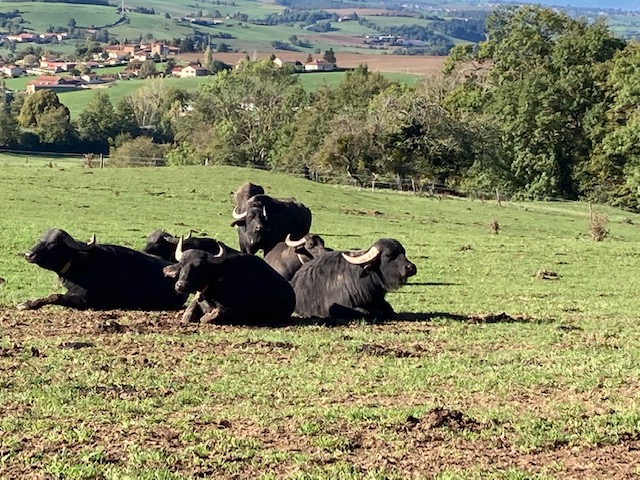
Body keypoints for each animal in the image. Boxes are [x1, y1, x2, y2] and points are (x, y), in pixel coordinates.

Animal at [18, 229, 188, 312]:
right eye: (41, 239)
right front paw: (26, 303)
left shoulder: (85, 300)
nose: (28, 254)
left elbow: (54, 296)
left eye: (53, 243)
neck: (82, 265)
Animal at [164, 240, 296, 326]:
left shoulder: (240, 312)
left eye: (201, 266)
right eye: (181, 264)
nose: (181, 285)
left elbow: (212, 315)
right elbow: (187, 314)